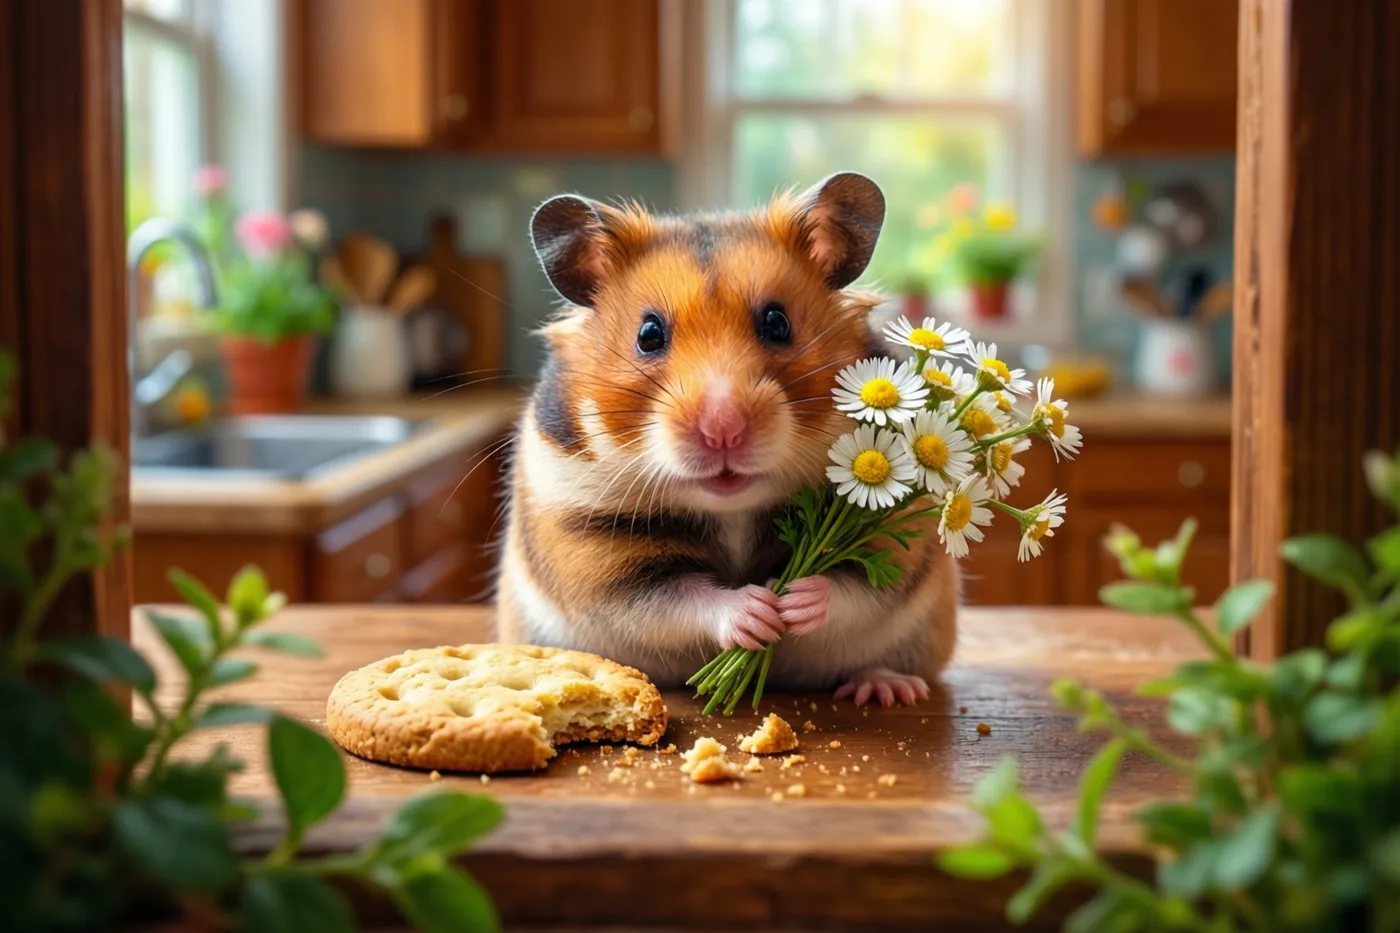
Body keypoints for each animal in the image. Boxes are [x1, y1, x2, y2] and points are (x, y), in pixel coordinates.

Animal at [495, 172, 957, 706]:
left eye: (777, 322)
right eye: (648, 334)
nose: (723, 430)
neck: (732, 508)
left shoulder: (895, 536)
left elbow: (853, 585)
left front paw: (790, 599)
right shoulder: (593, 550)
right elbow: (678, 600)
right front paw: (758, 610)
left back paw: (886, 688)